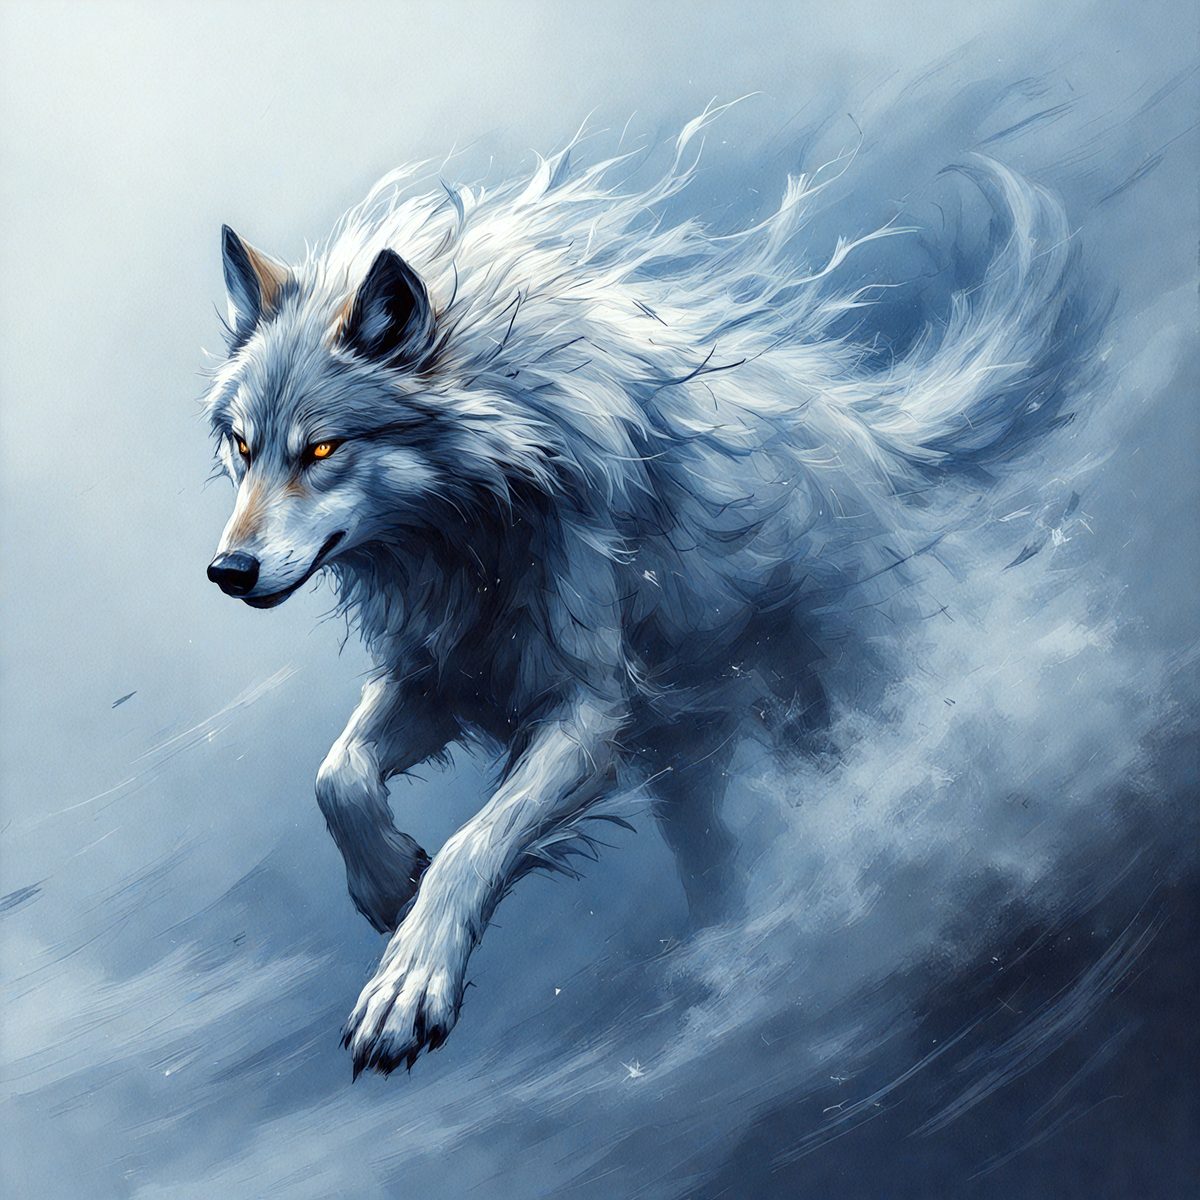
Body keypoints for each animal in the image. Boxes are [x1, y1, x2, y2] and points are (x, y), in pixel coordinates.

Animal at [203, 112, 1089, 1076]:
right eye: (245, 447)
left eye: (322, 450)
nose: (227, 572)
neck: (475, 525)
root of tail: (860, 425)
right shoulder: (444, 679)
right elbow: (337, 776)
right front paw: (385, 877)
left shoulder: (585, 715)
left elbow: (475, 845)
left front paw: (409, 983)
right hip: (690, 773)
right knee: (718, 865)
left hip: (843, 699)